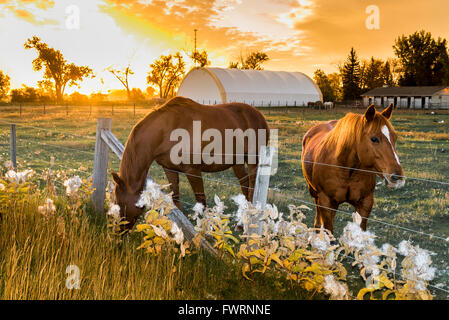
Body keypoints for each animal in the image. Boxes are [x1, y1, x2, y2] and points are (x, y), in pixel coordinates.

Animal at [110, 95, 268, 228]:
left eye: (120, 203)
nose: (118, 231)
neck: (167, 130)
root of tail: (258, 115)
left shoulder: (193, 171)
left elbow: (201, 200)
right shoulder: (169, 169)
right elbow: (175, 196)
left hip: (253, 161)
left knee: (252, 187)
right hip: (237, 161)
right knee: (244, 183)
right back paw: (241, 222)